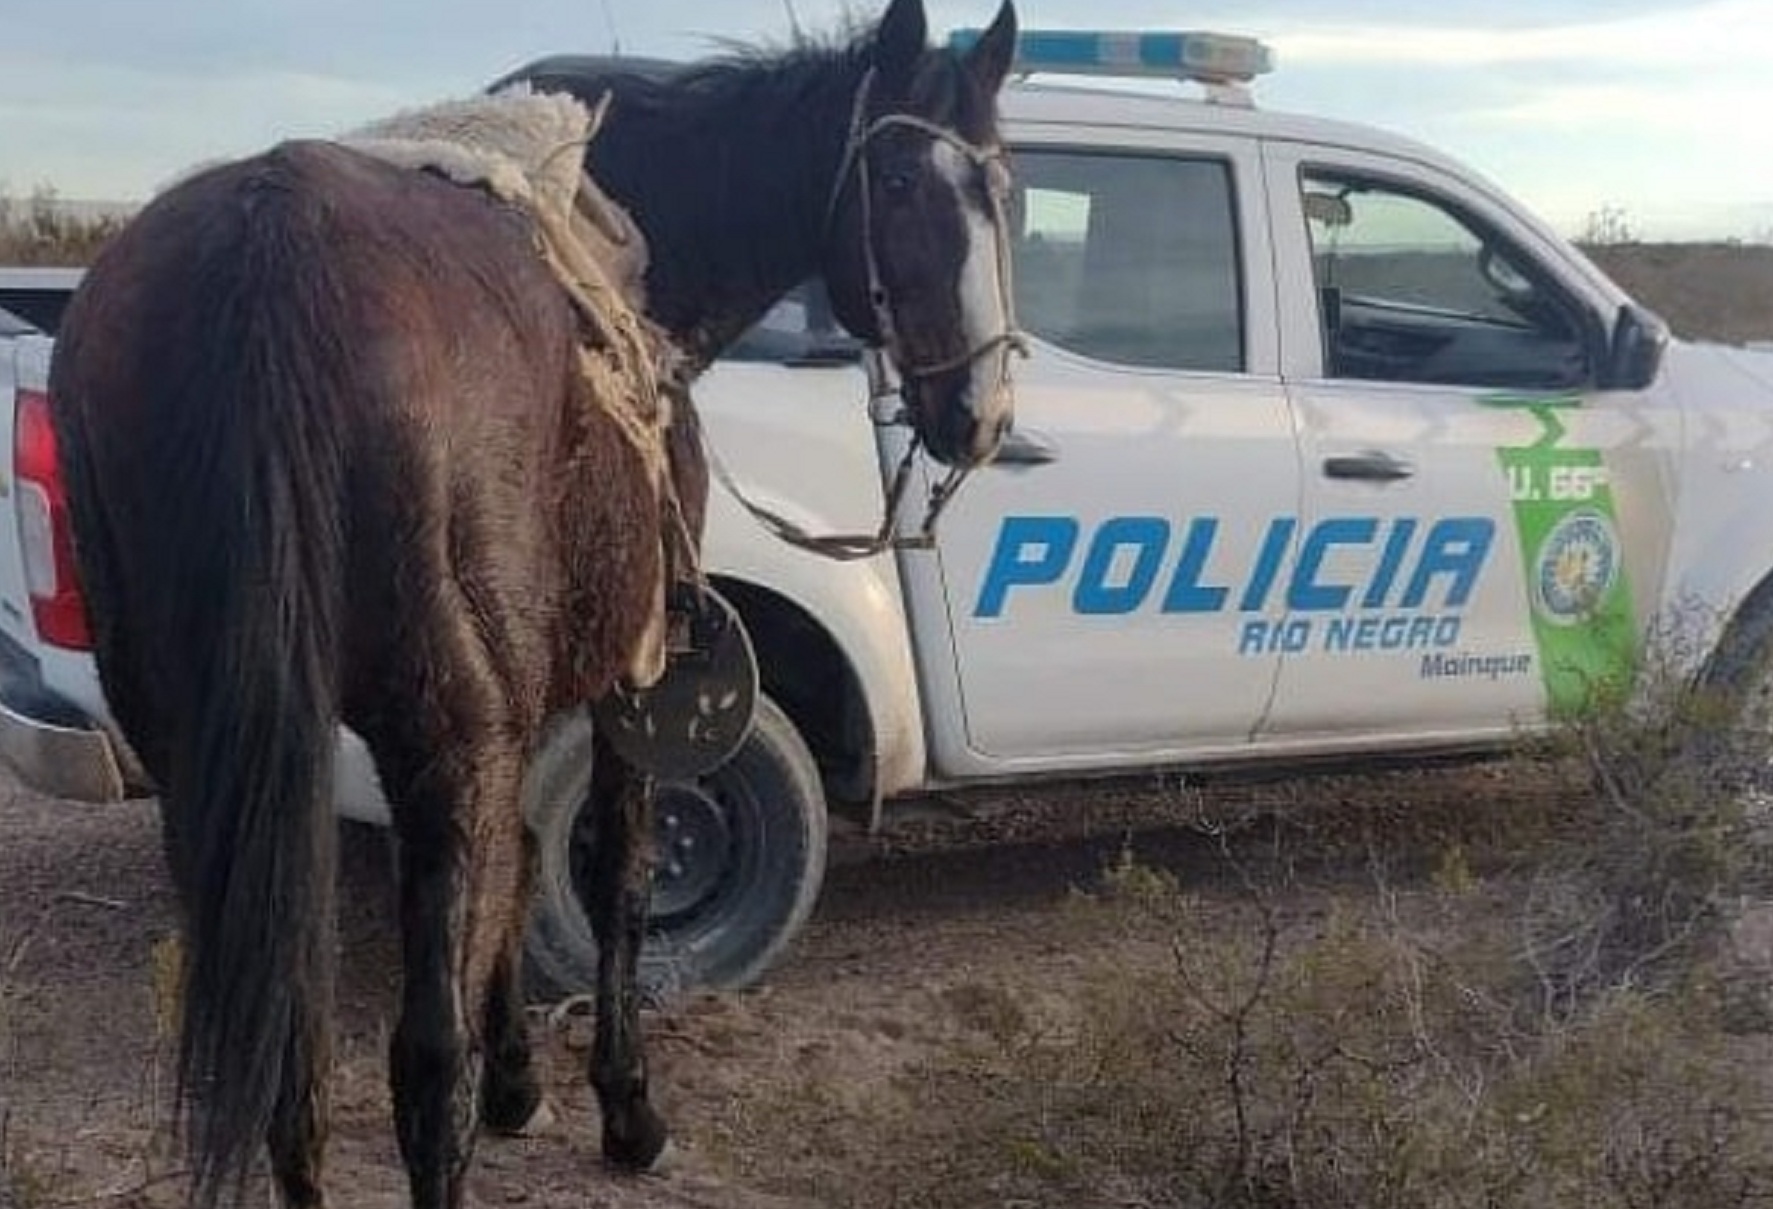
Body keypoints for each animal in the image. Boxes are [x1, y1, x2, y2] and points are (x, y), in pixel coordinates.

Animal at [48, 2, 1021, 1205]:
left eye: (1003, 186)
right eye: (893, 178)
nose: (978, 413)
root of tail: (269, 249)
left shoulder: (526, 693)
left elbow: (515, 866)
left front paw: (519, 1081)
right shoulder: (630, 675)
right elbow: (613, 876)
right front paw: (627, 1108)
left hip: (210, 754)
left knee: (294, 1043)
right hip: (440, 734)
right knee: (423, 1065)